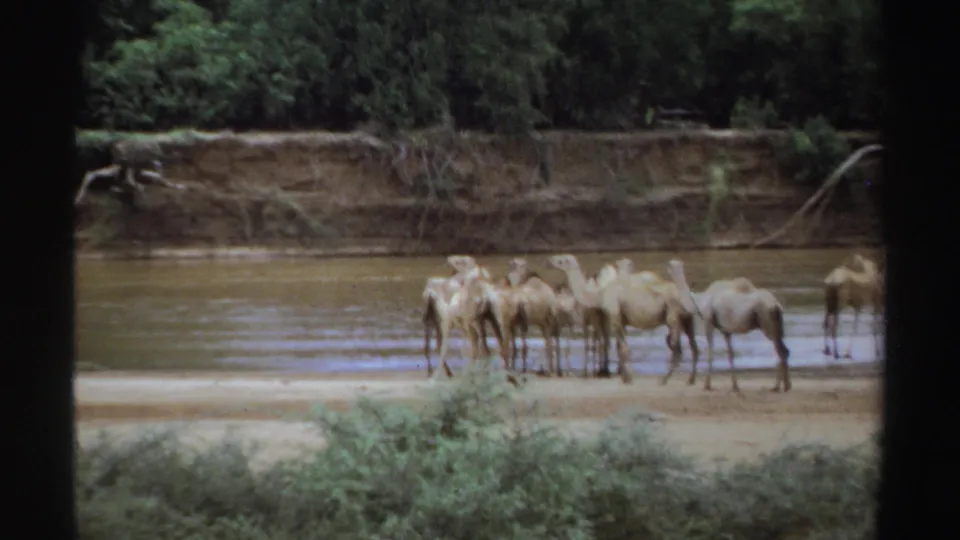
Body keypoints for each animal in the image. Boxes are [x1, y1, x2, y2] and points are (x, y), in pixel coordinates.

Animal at [548, 254, 698, 383]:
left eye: (561, 260)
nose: (550, 260)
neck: (600, 294)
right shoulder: (622, 320)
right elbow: (621, 347)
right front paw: (624, 377)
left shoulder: (615, 316)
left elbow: (623, 348)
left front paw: (628, 378)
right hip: (687, 318)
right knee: (693, 346)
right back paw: (690, 380)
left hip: (672, 316)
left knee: (677, 349)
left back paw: (664, 380)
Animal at [662, 270, 791, 393]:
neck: (699, 301)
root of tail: (776, 305)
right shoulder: (725, 330)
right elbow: (730, 354)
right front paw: (735, 386)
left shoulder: (708, 320)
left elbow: (710, 351)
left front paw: (707, 385)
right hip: (776, 326)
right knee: (784, 350)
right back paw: (786, 386)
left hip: (767, 323)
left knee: (780, 351)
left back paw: (776, 387)